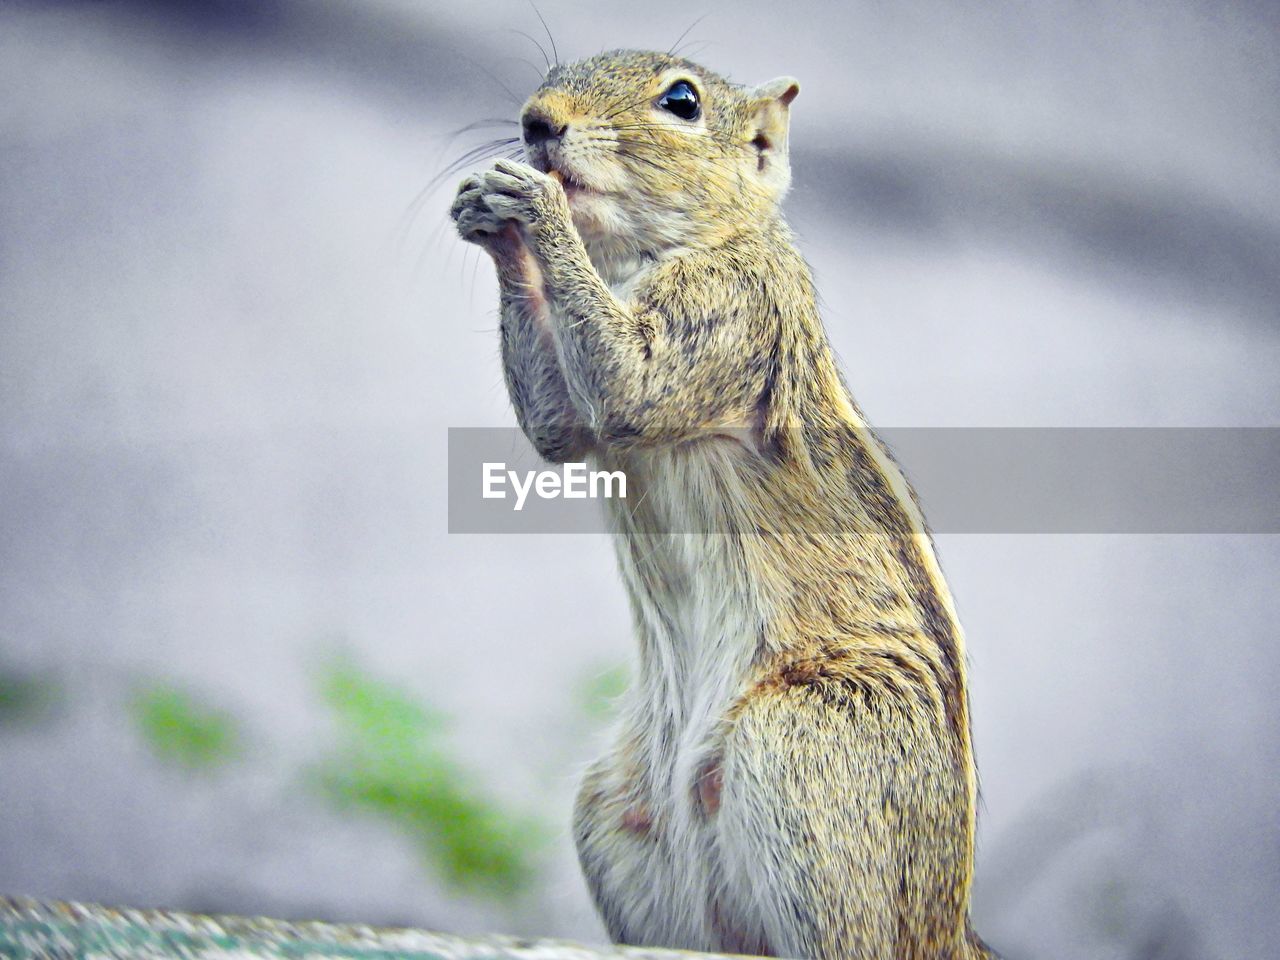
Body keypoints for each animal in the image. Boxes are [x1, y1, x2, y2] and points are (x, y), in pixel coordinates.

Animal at [450, 50, 998, 960]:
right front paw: (490, 215)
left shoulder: (734, 308)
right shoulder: (578, 411)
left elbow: (630, 382)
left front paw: (537, 208)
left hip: (808, 751)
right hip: (622, 820)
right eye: (555, 72)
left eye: (681, 101)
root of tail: (945, 931)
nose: (537, 122)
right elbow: (559, 426)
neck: (642, 257)